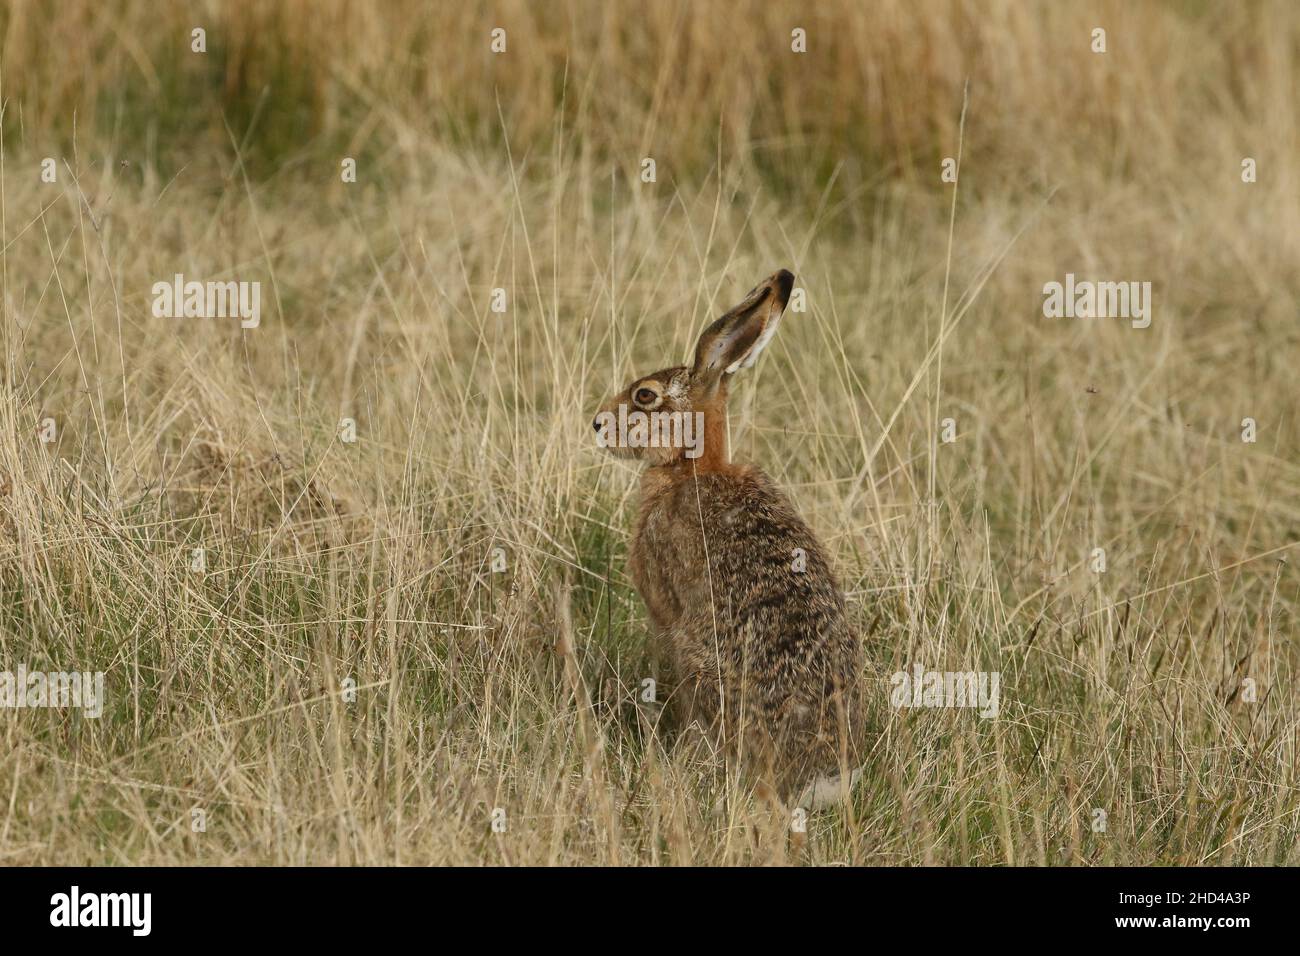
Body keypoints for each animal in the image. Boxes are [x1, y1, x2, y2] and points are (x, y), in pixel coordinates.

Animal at [593, 269, 861, 808]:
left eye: (645, 396)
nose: (596, 424)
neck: (691, 466)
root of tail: (818, 777)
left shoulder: (664, 610)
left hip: (703, 665)